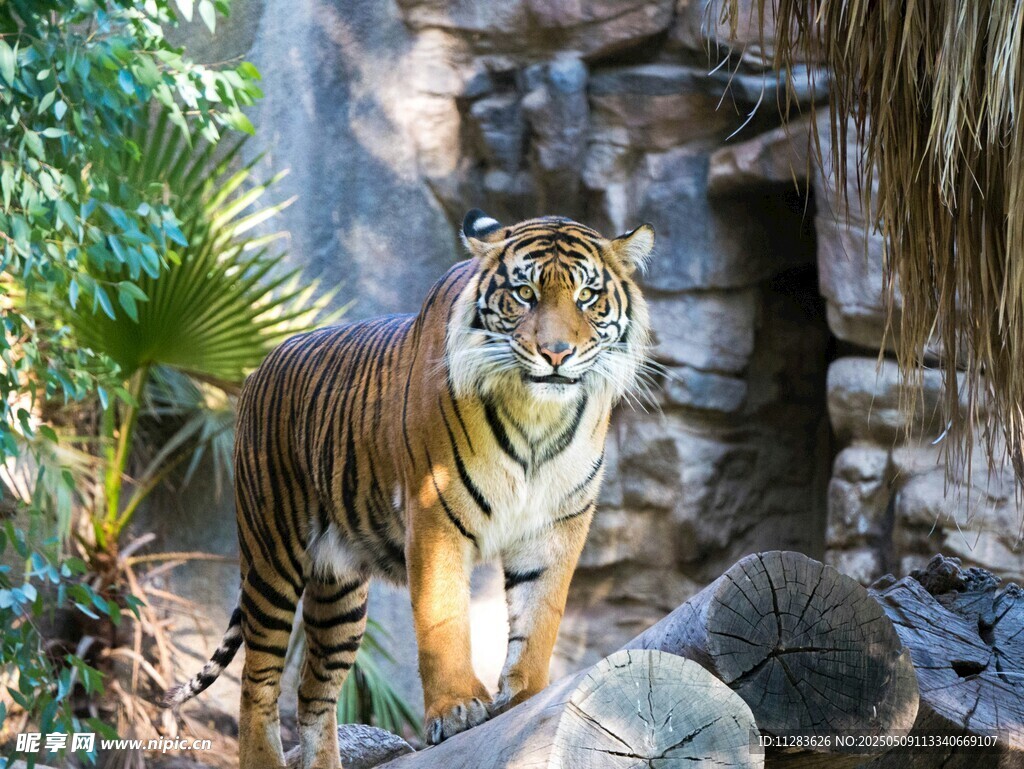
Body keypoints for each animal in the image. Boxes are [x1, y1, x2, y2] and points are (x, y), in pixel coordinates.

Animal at [164, 210, 655, 769]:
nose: (556, 353)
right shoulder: (435, 512)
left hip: (339, 593)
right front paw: (458, 709)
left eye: (587, 296)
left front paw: (527, 698)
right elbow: (444, 619)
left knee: (313, 692)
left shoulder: (557, 524)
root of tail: (257, 369)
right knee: (258, 680)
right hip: (272, 555)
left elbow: (540, 616)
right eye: (525, 293)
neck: (538, 414)